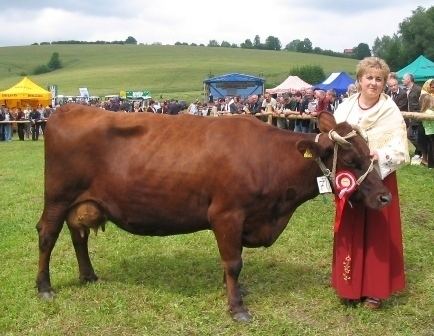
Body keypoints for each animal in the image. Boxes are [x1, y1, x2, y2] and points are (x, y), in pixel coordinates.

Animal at [36, 103, 390, 322]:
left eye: (369, 153)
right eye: (351, 160)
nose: (385, 196)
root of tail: (68, 108)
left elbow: (231, 263)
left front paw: (234, 291)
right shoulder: (227, 214)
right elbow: (233, 262)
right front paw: (237, 308)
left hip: (81, 203)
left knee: (78, 235)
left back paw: (88, 275)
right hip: (57, 197)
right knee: (47, 235)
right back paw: (44, 288)